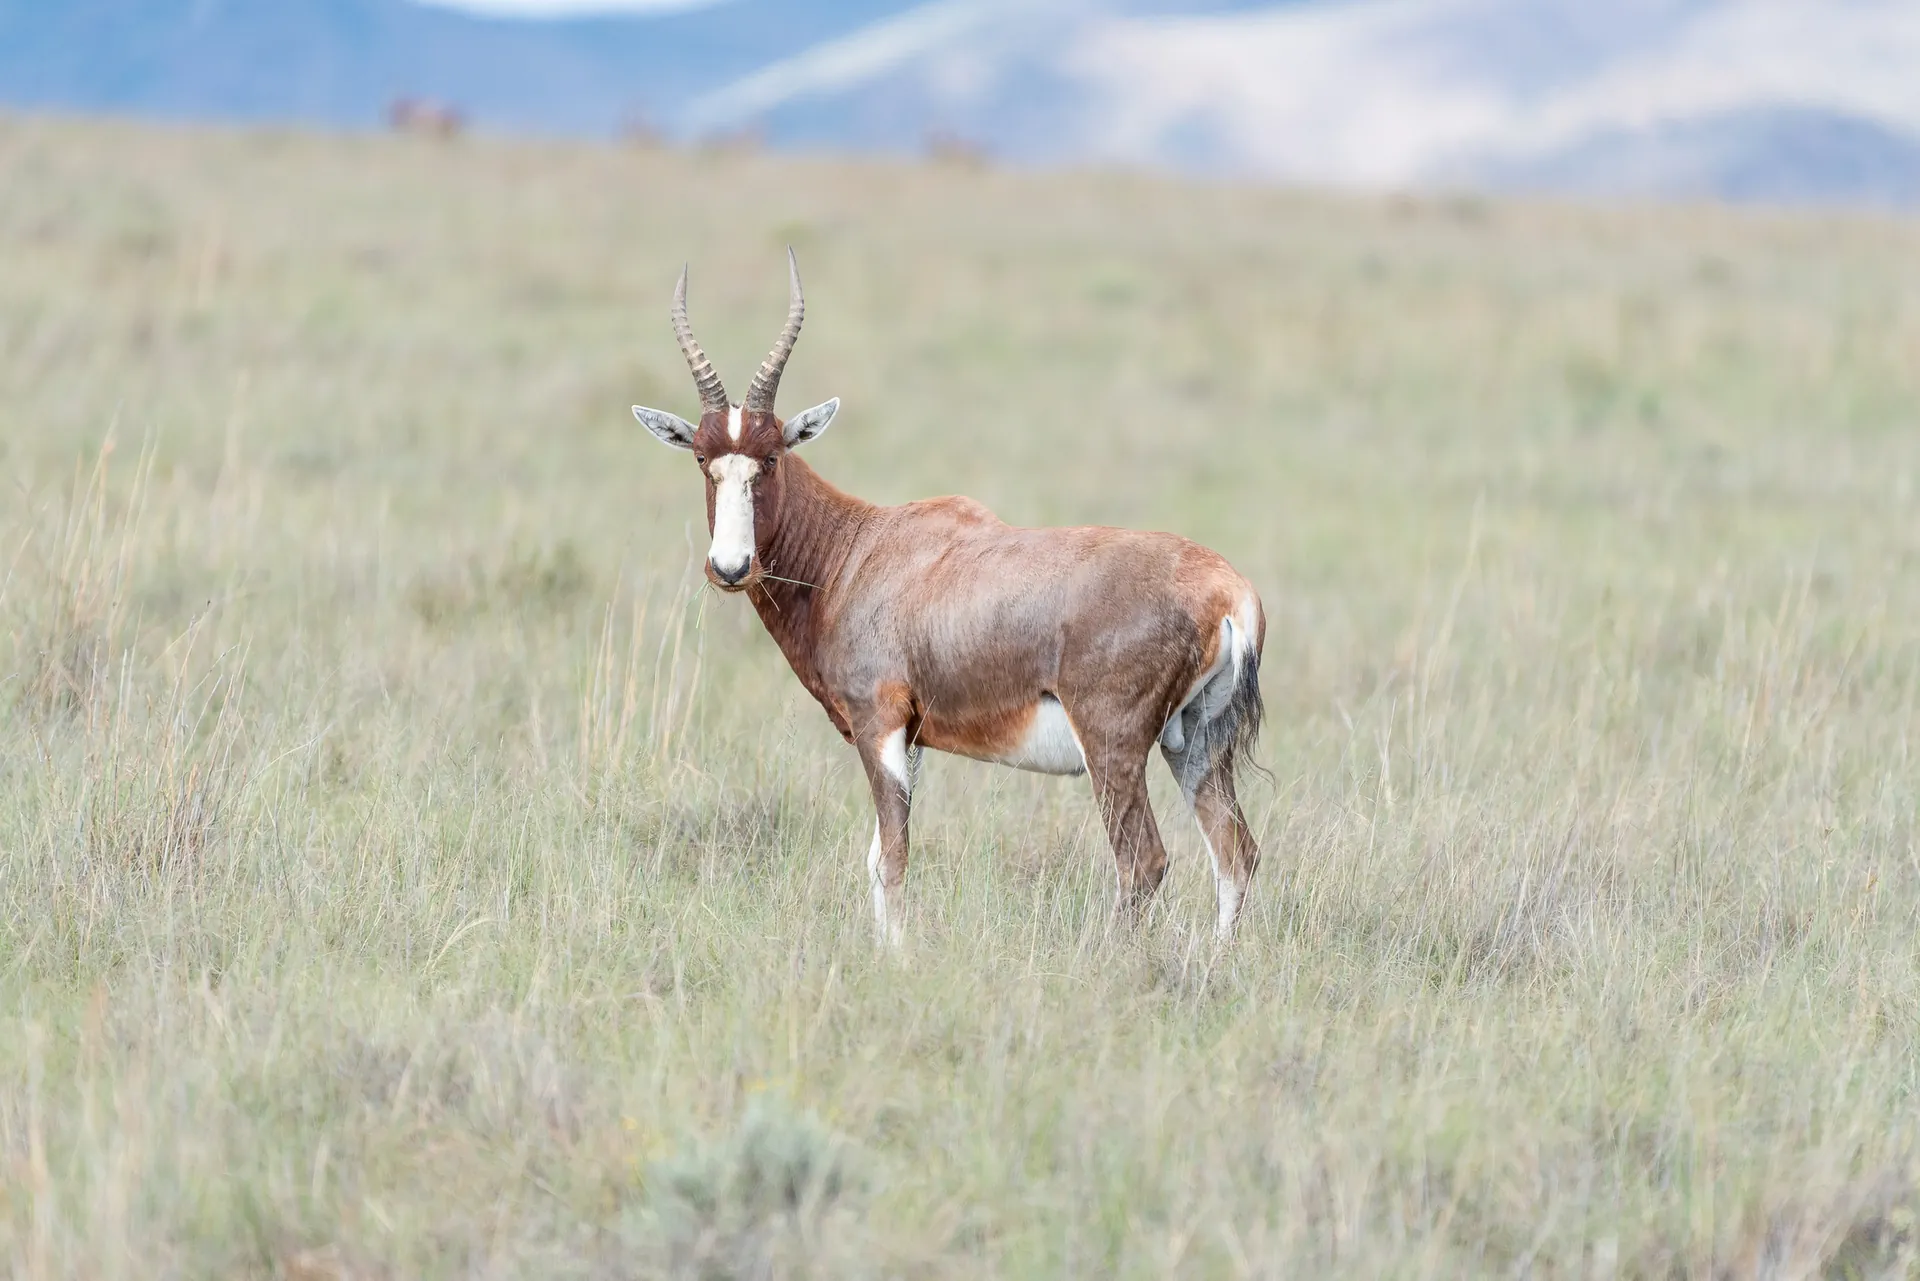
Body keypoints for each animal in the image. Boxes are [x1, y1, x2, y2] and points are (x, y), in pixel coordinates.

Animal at [633, 253, 1266, 944]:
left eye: (771, 456)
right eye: (703, 458)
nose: (730, 567)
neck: (861, 547)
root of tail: (1230, 591)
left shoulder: (878, 722)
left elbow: (892, 859)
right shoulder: (911, 737)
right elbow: (878, 858)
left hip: (1113, 746)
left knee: (1144, 860)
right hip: (1195, 741)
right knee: (1235, 854)